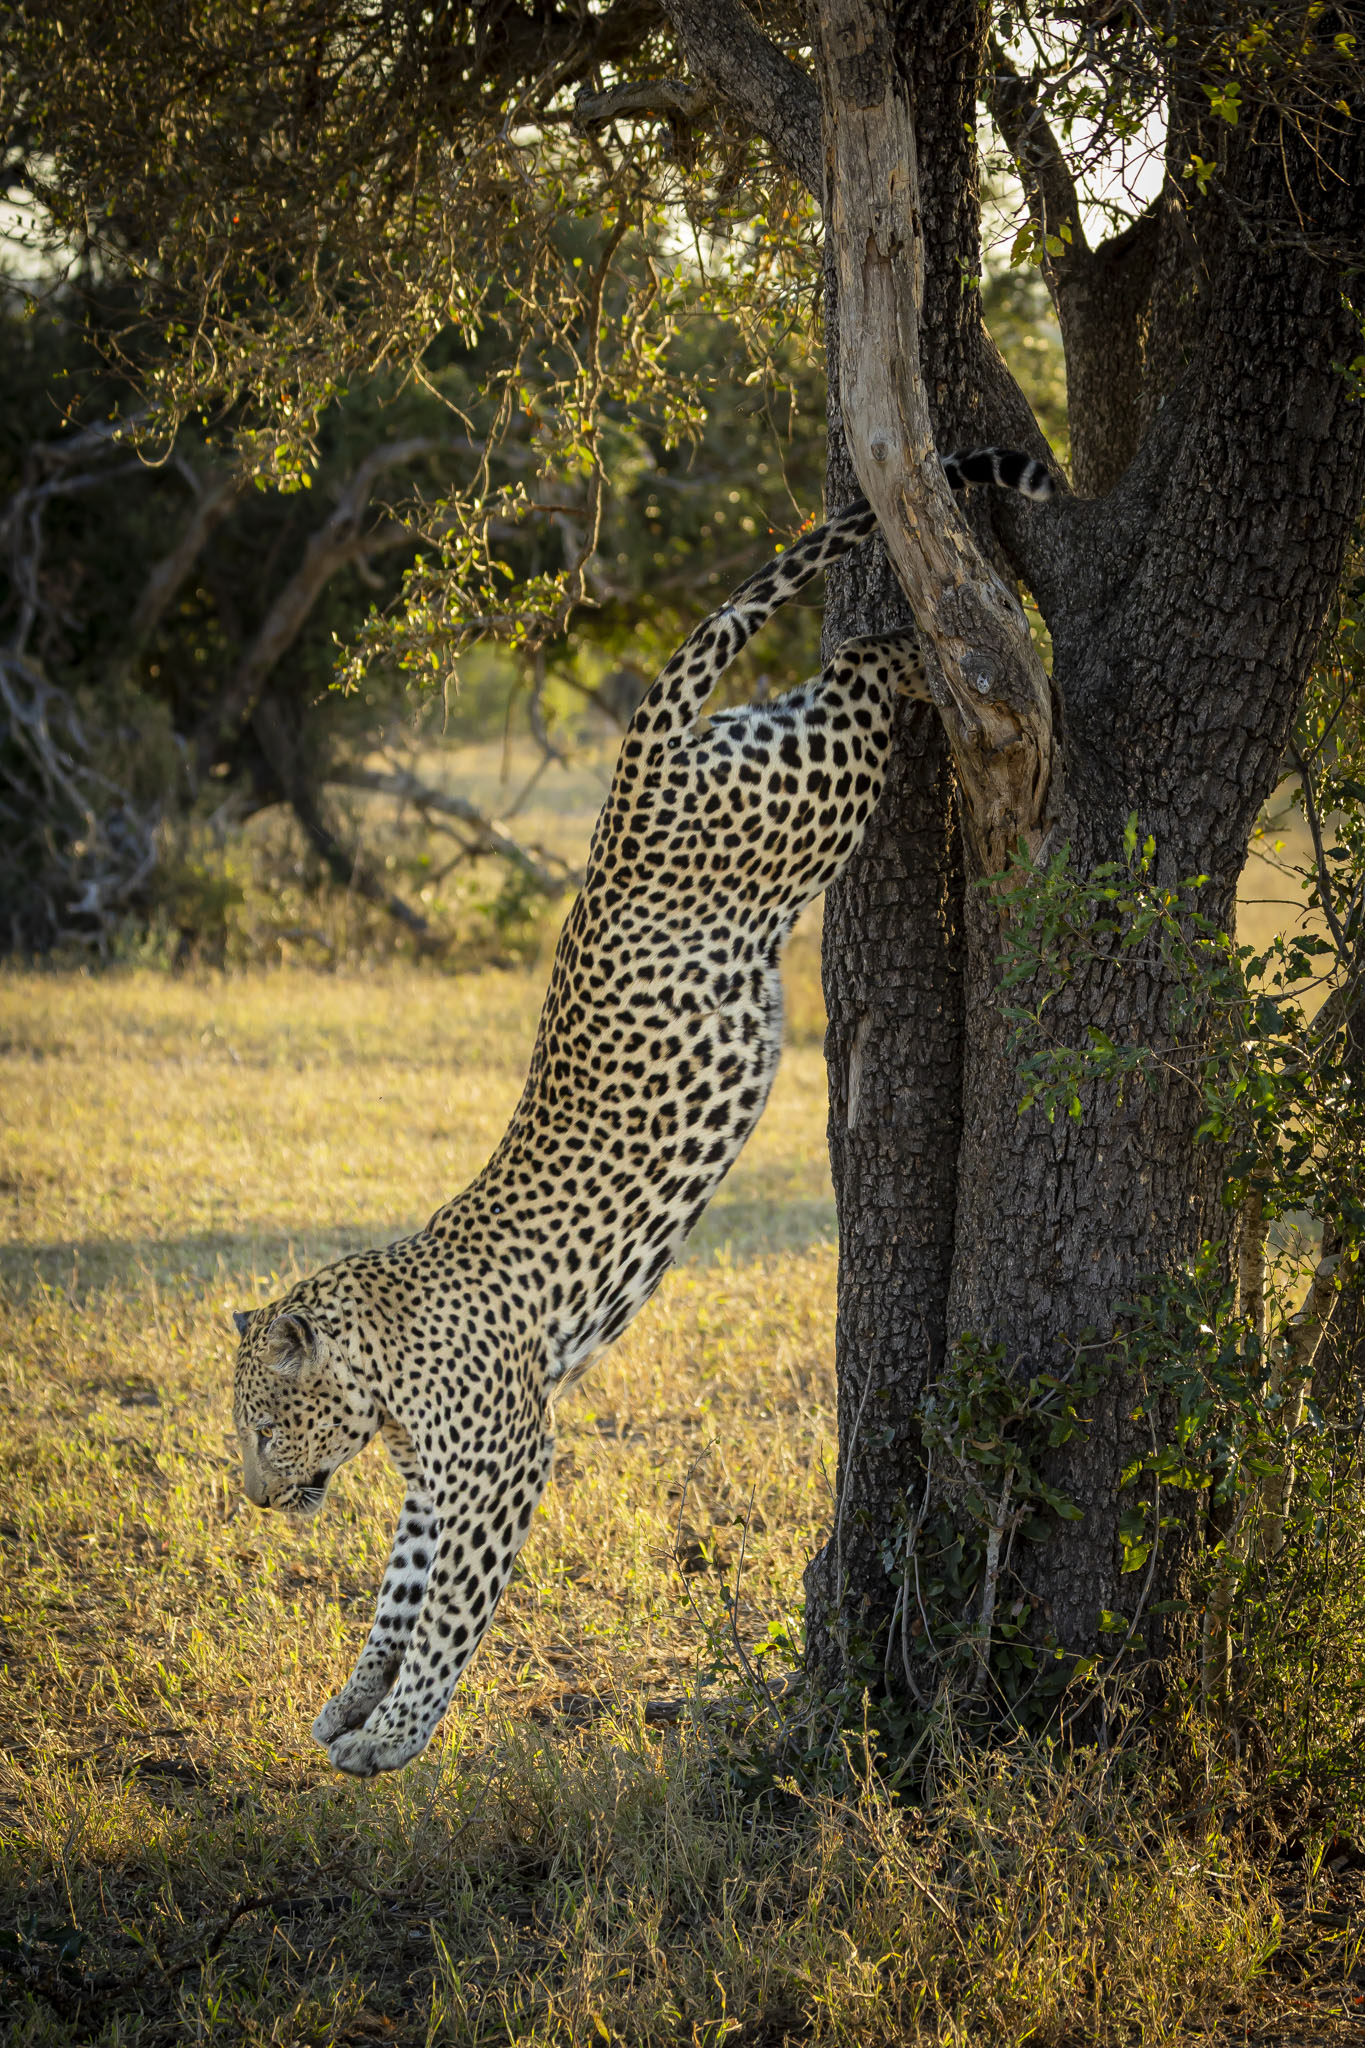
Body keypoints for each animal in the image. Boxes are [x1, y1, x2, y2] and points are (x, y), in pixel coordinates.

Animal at [231, 446, 1053, 1777]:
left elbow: (450, 1607)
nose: (255, 1498)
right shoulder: (434, 1484)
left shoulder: (504, 1457)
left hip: (807, 799)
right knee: (839, 665)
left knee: (872, 678)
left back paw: (950, 653)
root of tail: (629, 780)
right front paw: (354, 1703)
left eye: (262, 1420)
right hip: (776, 746)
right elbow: (397, 1592)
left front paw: (402, 1730)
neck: (383, 1359)